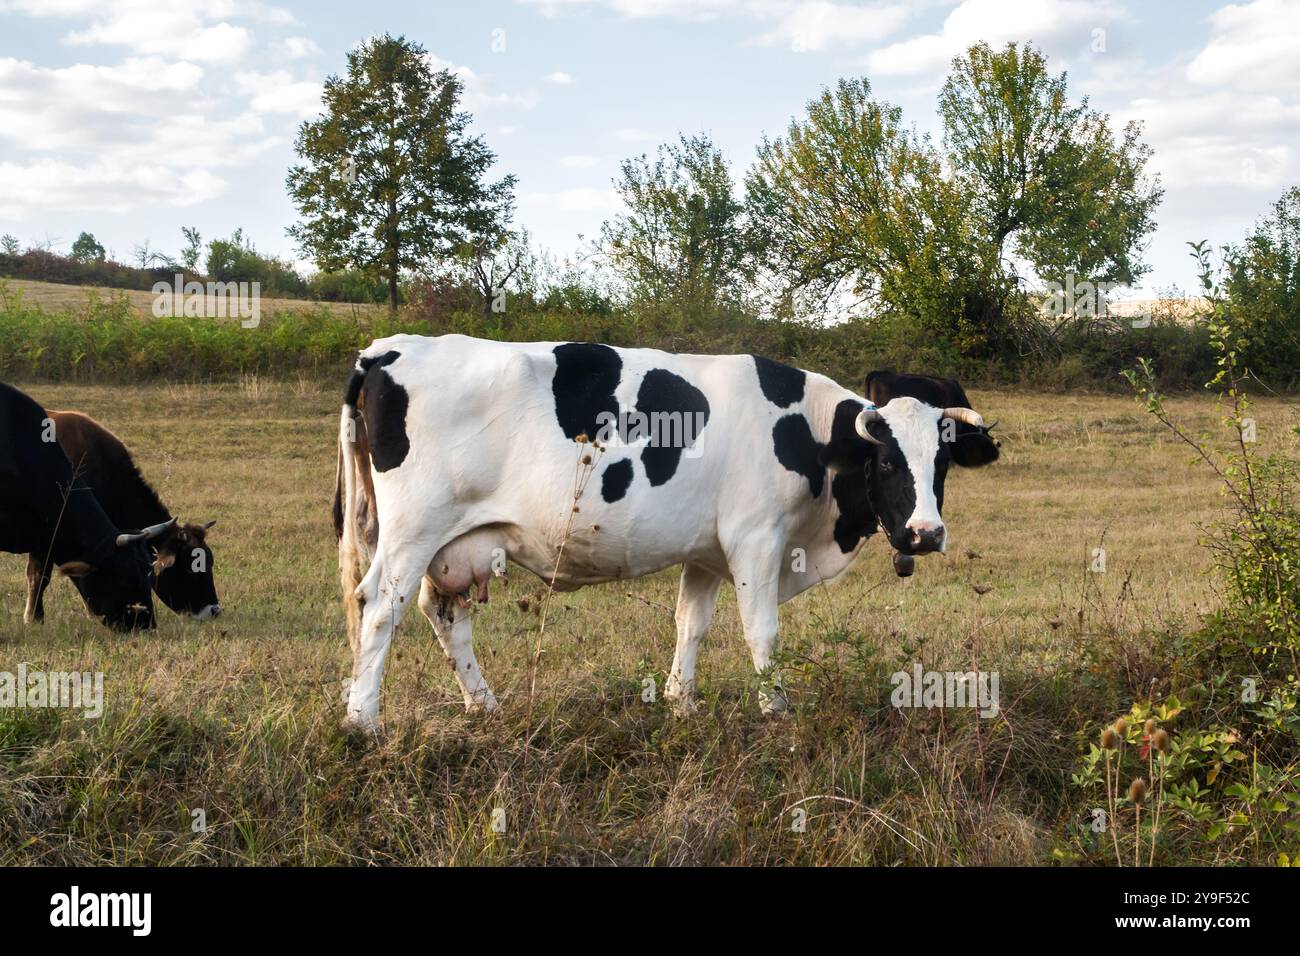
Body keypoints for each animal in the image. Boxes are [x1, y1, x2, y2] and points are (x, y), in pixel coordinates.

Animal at [334, 335, 996, 728]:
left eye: (942, 464)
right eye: (885, 463)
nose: (924, 534)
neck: (805, 431)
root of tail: (387, 349)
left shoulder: (706, 550)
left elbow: (690, 622)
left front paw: (682, 700)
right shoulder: (756, 537)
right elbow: (762, 630)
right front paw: (775, 708)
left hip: (450, 544)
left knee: (442, 614)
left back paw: (483, 704)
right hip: (412, 532)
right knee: (379, 608)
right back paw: (363, 721)